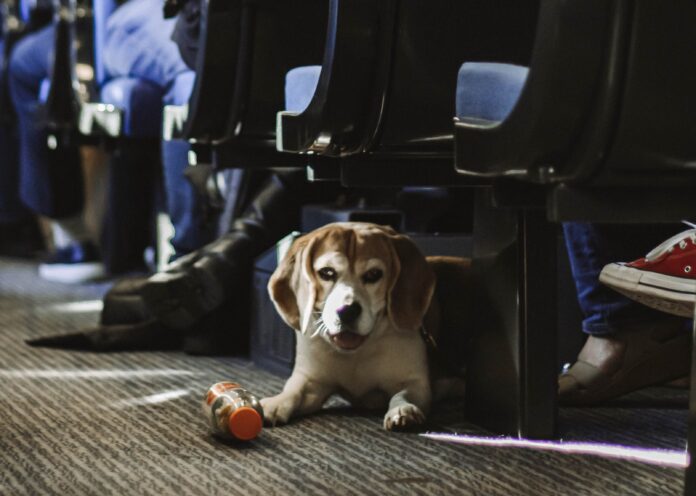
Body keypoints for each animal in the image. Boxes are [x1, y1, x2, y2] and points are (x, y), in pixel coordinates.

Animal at [260, 222, 474, 430]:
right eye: (327, 273)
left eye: (373, 274)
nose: (346, 311)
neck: (357, 353)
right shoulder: (310, 381)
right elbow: (293, 391)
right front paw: (274, 404)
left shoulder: (415, 383)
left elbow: (402, 395)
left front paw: (403, 410)